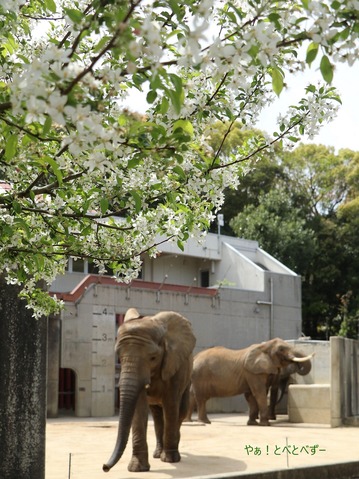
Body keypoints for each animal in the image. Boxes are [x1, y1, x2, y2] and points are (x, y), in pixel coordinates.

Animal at [101, 310, 197, 474]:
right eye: (119, 356)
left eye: (153, 358)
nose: (105, 467)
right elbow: (139, 408)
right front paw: (137, 468)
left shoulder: (174, 366)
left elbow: (171, 404)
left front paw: (170, 460)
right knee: (158, 416)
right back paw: (158, 454)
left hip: (187, 379)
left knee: (180, 412)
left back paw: (170, 453)